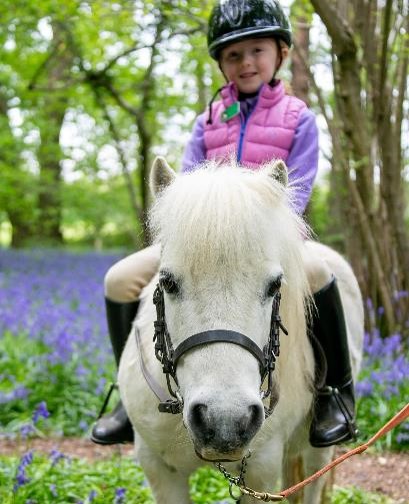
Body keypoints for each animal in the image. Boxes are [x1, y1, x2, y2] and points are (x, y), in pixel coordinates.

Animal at [118, 156, 364, 502]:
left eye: (275, 285)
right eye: (167, 282)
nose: (225, 422)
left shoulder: (261, 470)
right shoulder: (159, 470)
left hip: (318, 450)